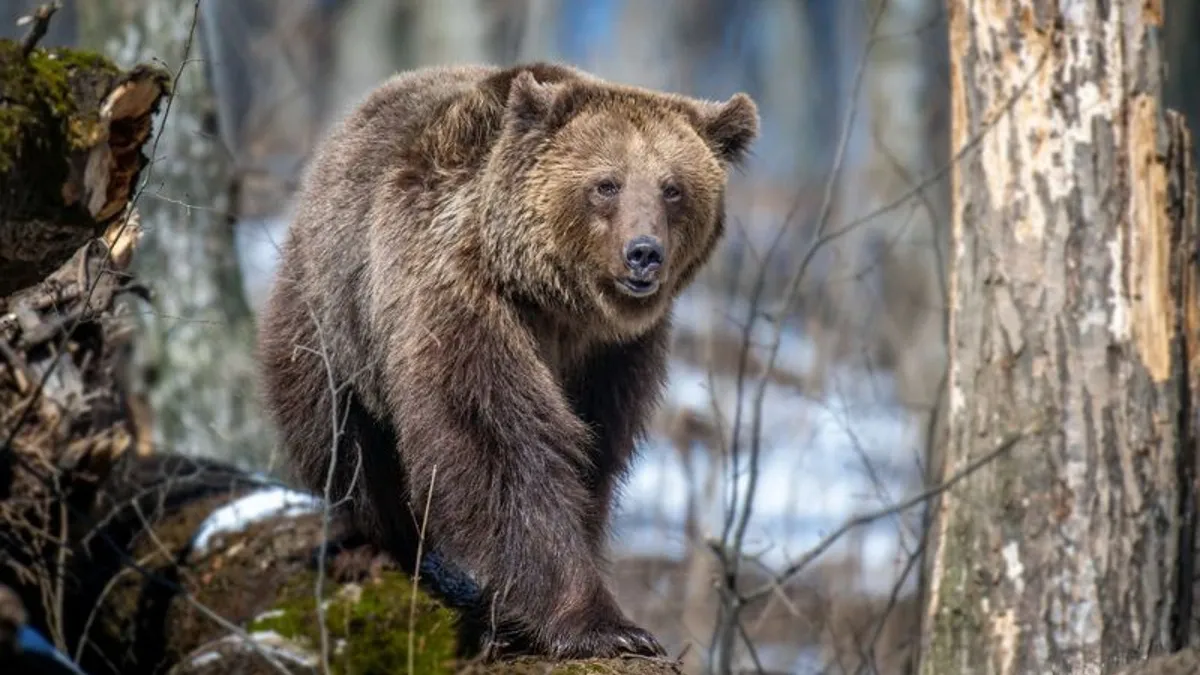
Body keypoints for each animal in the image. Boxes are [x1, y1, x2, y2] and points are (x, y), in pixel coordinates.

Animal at [255, 61, 758, 658]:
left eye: (673, 188)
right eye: (606, 183)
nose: (643, 253)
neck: (559, 302)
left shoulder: (616, 355)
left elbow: (593, 456)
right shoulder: (463, 295)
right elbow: (499, 445)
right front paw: (606, 626)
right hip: (333, 316)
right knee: (342, 441)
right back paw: (373, 543)